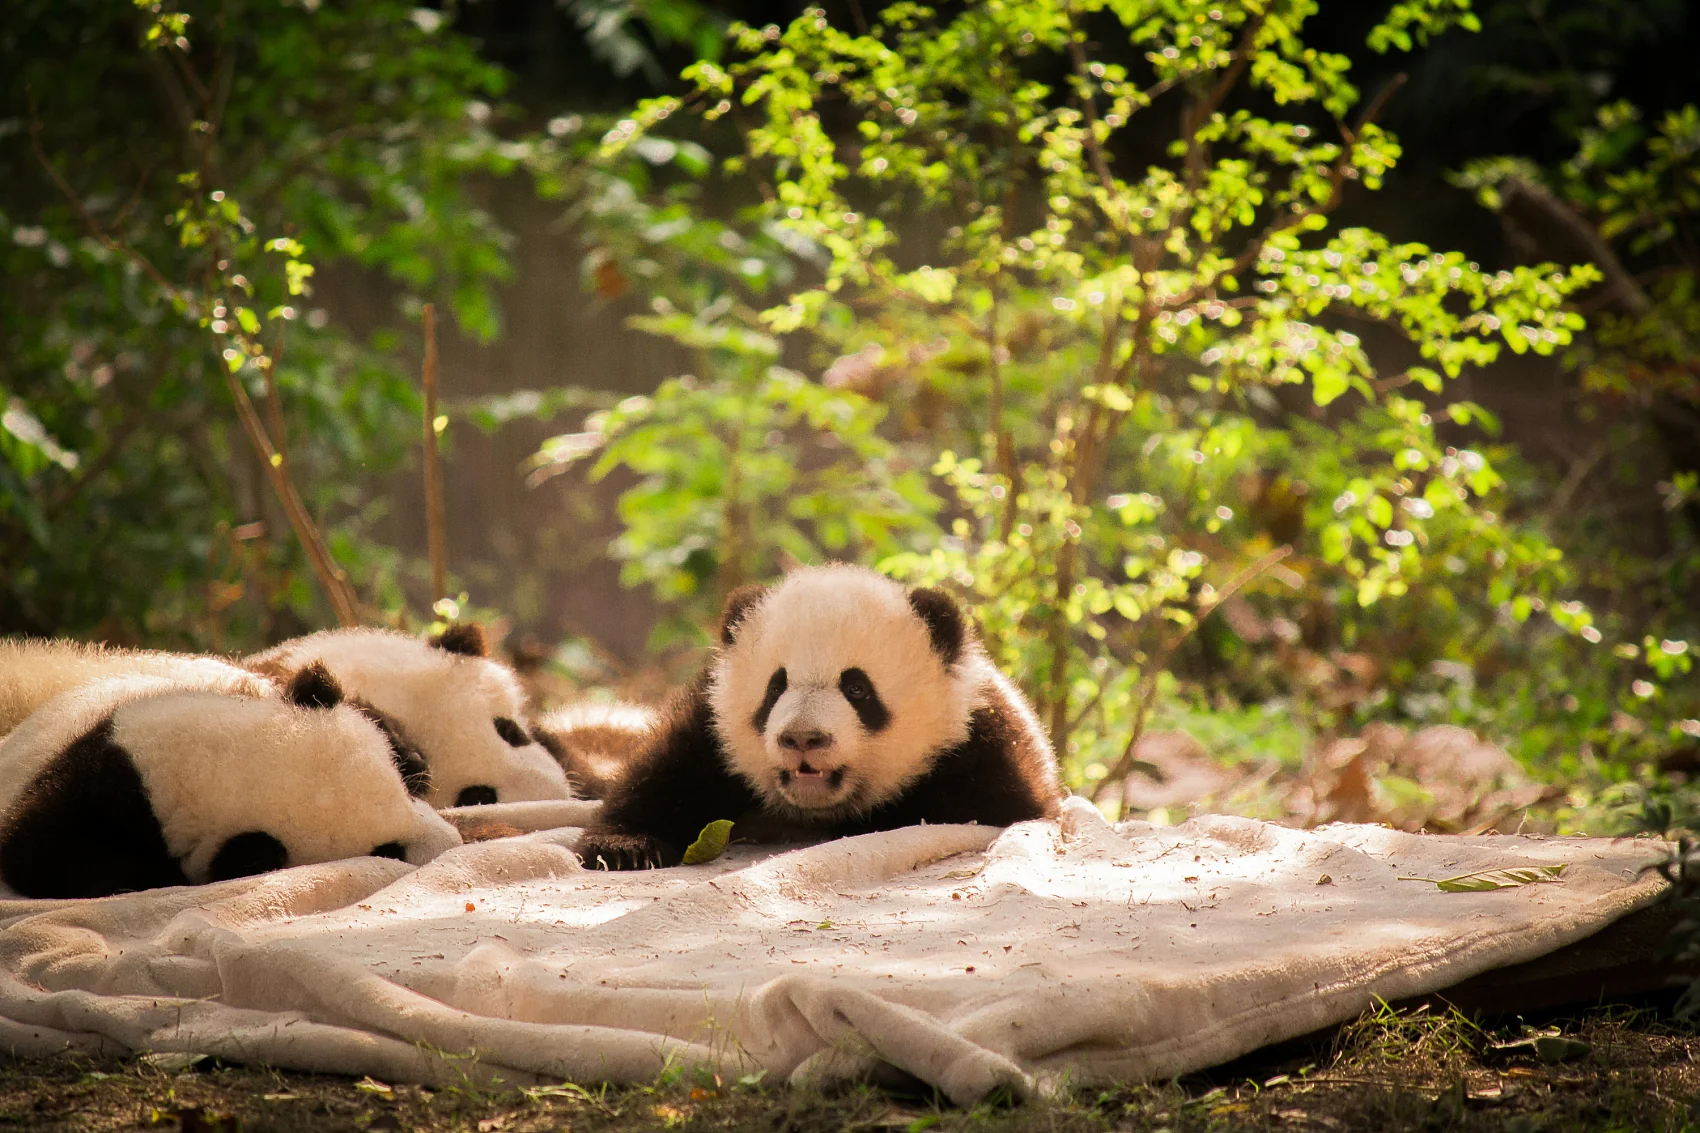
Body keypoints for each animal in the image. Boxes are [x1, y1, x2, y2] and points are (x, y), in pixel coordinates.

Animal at [575, 563, 1065, 870]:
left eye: (857, 689)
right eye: (776, 686)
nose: (803, 739)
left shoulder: (982, 746)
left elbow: (979, 809)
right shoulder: (708, 725)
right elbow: (662, 776)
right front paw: (622, 849)